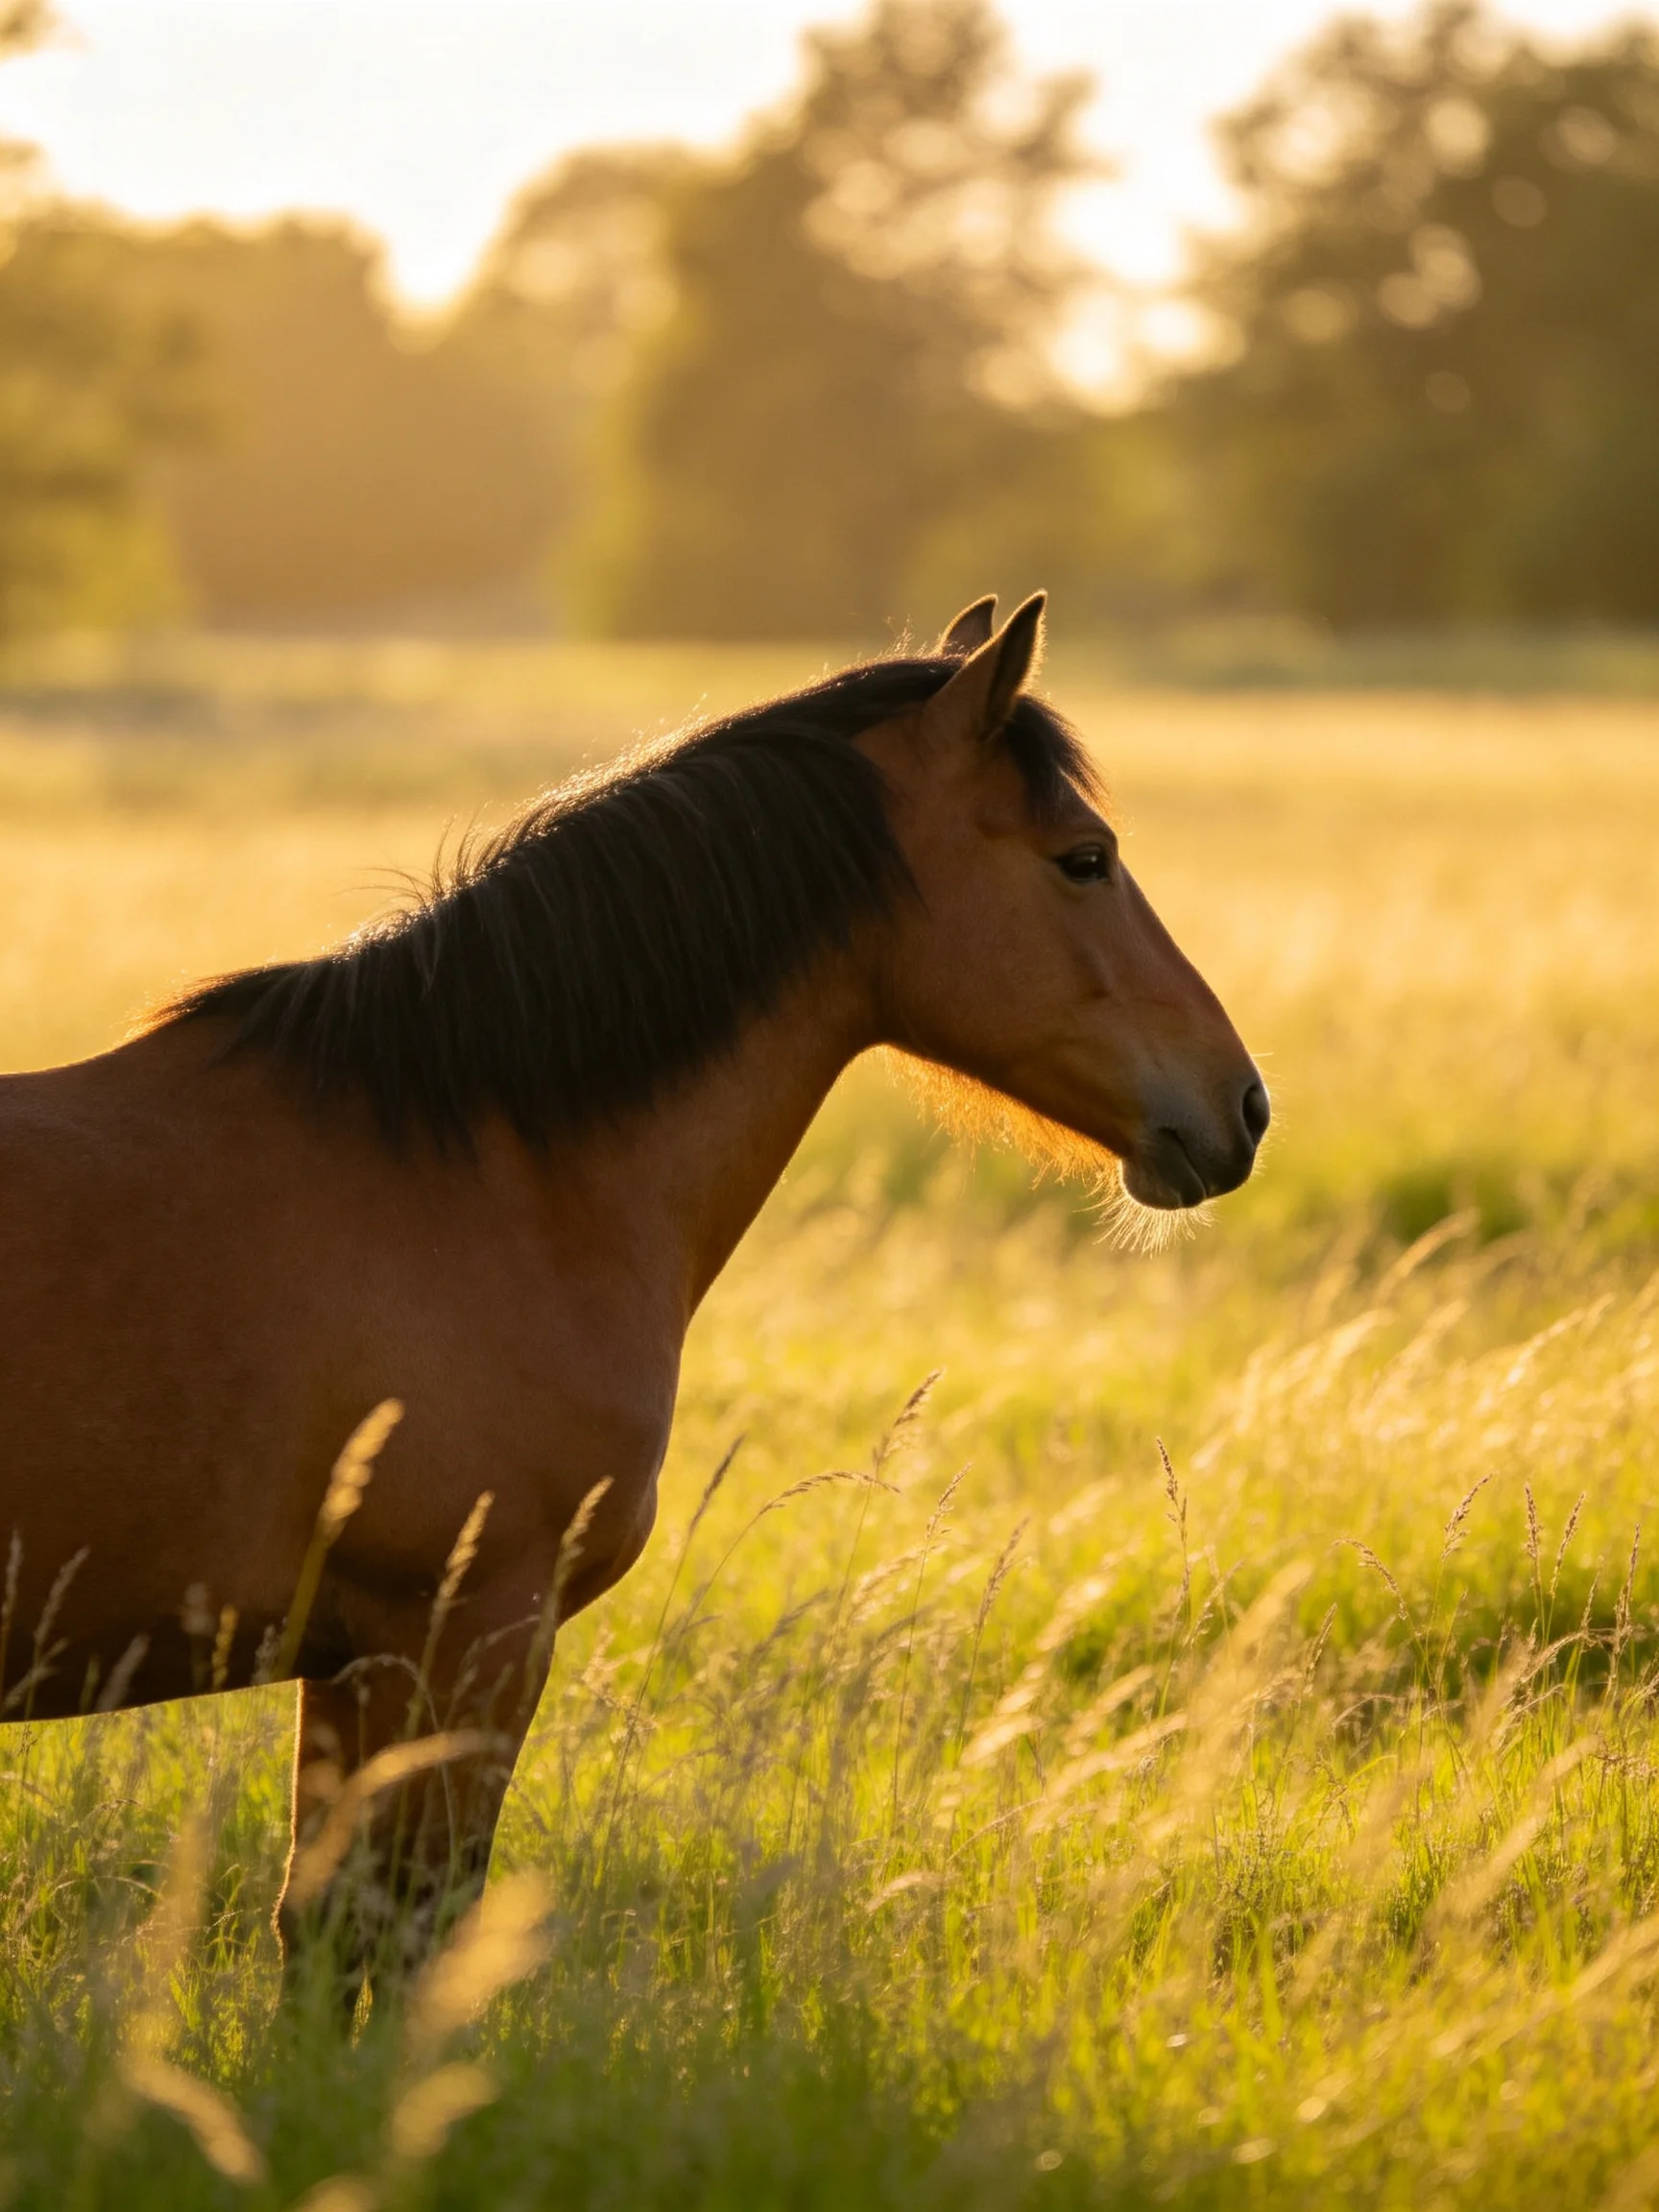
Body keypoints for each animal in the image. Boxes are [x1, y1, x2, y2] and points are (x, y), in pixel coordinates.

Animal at [0, 593, 1267, 1978]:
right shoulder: (467, 1641)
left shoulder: (348, 1659)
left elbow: (326, 1936)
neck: (483, 1170)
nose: (1242, 1104)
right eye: (1084, 858)